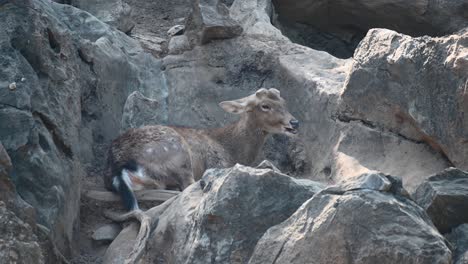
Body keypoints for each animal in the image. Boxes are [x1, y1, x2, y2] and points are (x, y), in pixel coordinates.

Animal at [104, 87, 298, 211]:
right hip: (178, 153)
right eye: (265, 105)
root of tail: (118, 165)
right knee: (187, 186)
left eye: (284, 102)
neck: (232, 150)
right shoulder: (218, 164)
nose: (294, 122)